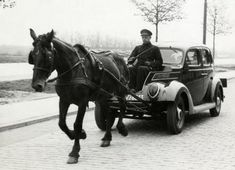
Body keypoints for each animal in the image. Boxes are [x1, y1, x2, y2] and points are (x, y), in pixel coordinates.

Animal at [28, 28, 129, 163]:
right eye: (33, 55)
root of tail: (121, 57)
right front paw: (80, 134)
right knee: (109, 113)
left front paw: (74, 151)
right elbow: (62, 123)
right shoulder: (64, 100)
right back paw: (107, 137)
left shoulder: (82, 102)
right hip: (103, 96)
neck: (72, 70)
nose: (37, 85)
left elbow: (77, 124)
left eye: (48, 56)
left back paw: (121, 128)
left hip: (120, 90)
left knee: (123, 106)